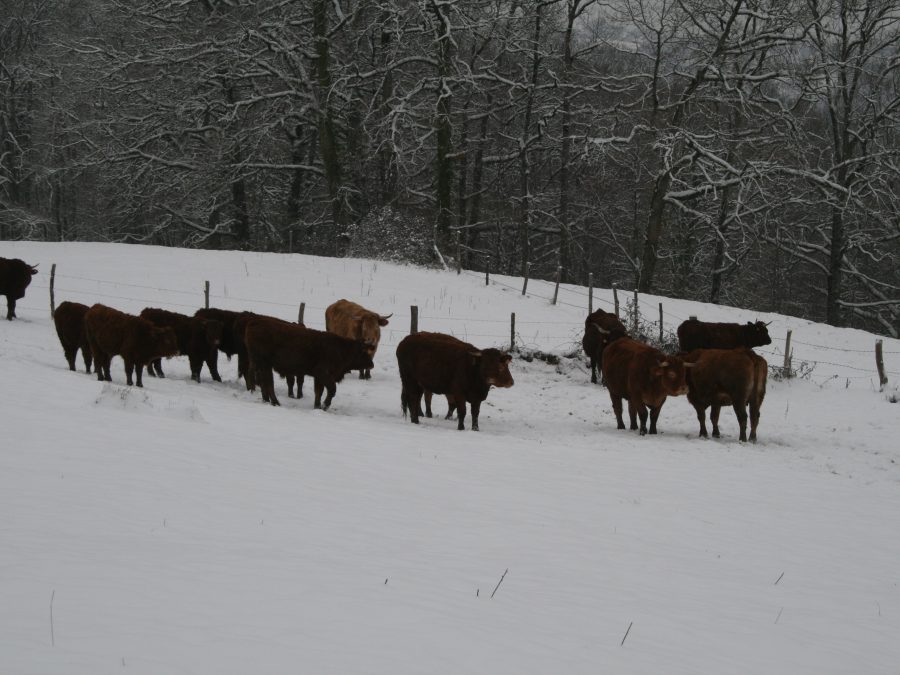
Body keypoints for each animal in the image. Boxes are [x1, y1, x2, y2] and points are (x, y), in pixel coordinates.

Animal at [243, 318, 372, 412]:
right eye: (363, 351)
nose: (372, 364)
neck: (342, 348)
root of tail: (254, 323)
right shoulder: (323, 374)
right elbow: (332, 389)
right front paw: (325, 406)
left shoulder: (319, 378)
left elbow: (319, 392)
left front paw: (317, 407)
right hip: (265, 365)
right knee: (269, 384)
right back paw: (276, 403)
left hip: (263, 366)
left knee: (264, 383)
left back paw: (267, 401)